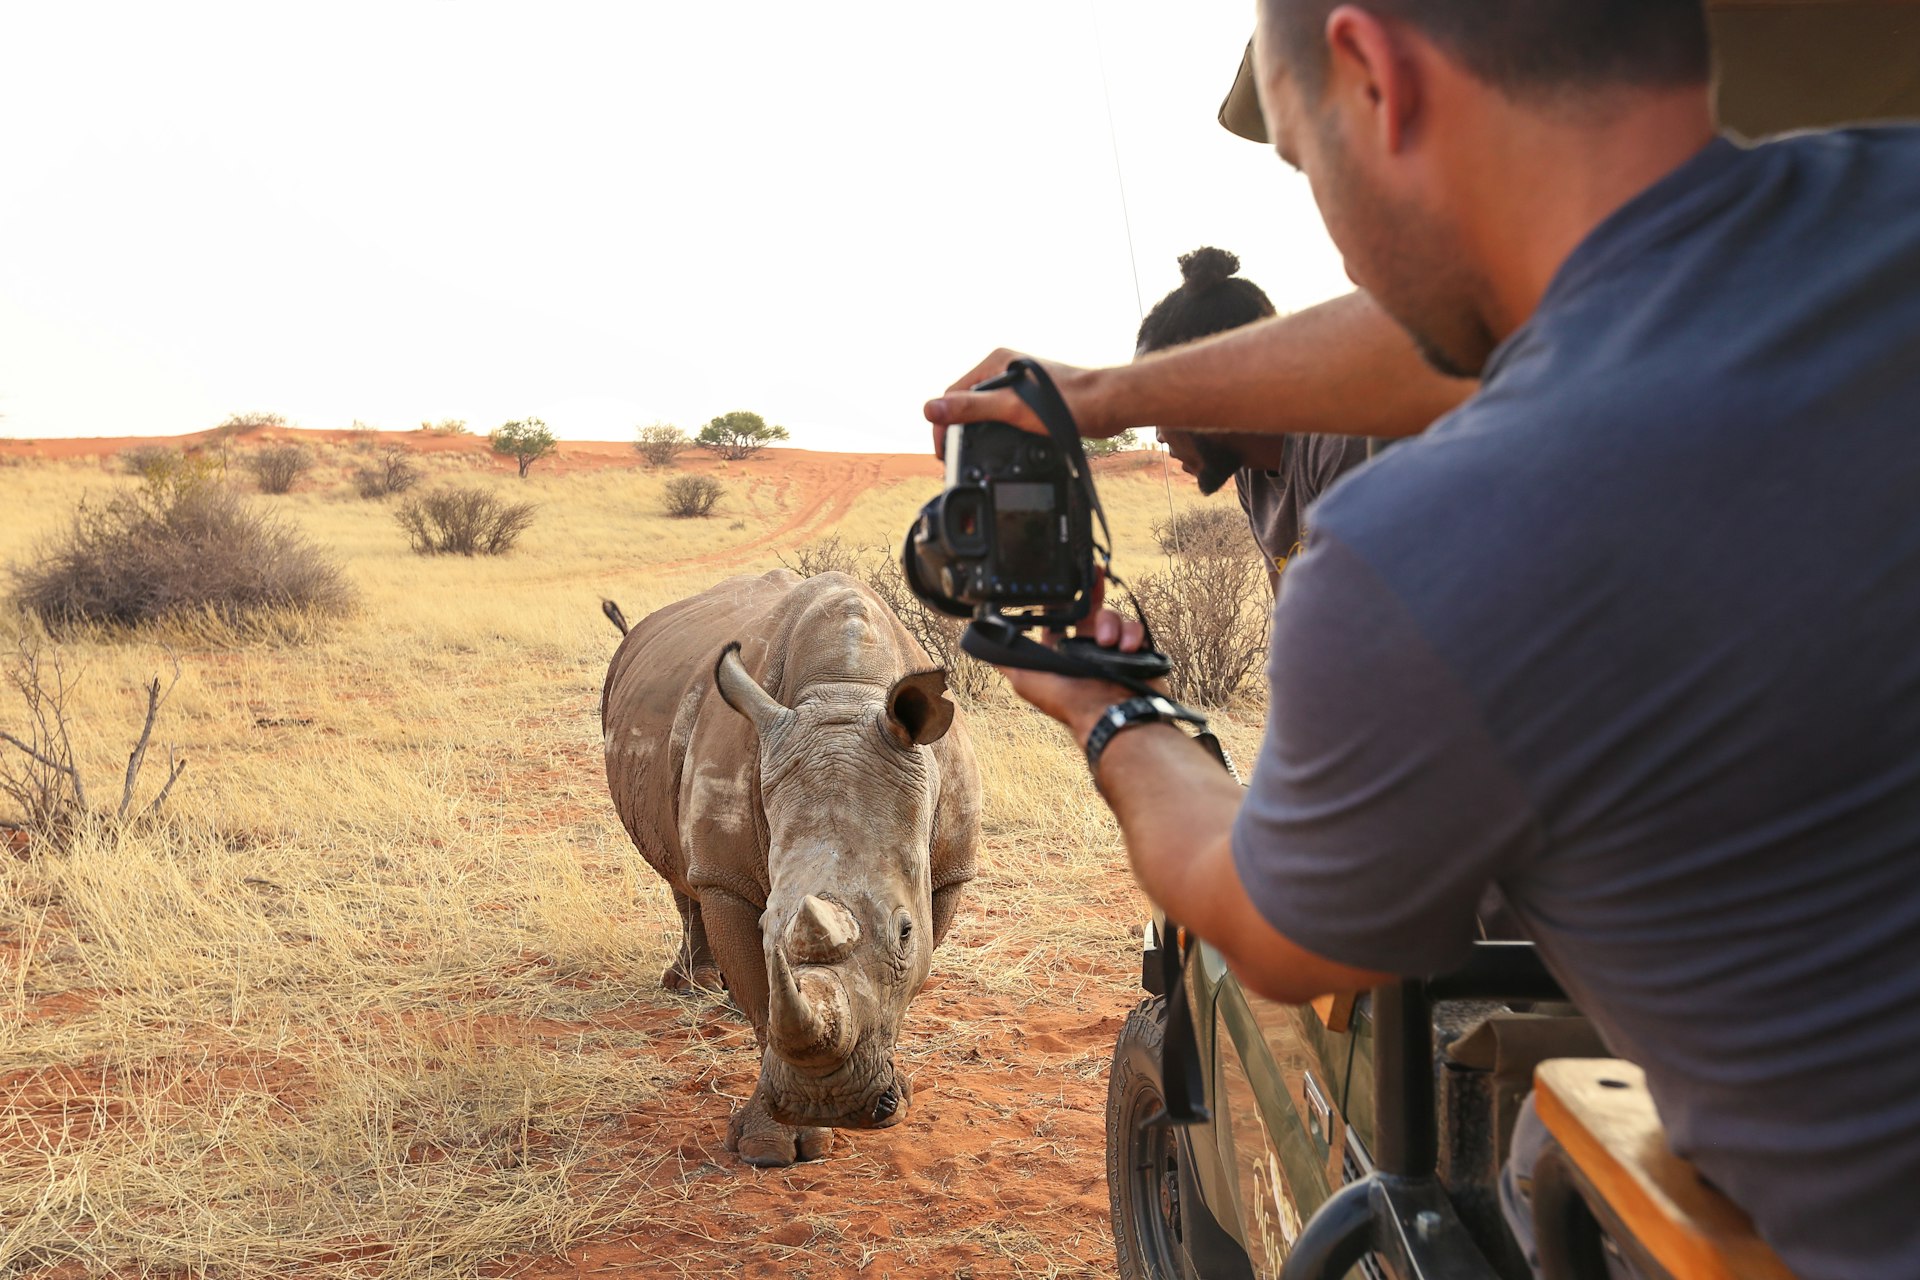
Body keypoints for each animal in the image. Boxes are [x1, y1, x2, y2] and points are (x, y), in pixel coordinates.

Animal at [599, 571, 983, 1174]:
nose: (833, 1101)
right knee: (681, 874)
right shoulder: (727, 878)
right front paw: (772, 1146)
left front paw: (894, 1099)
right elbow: (763, 1001)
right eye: (765, 928)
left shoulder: (948, 871)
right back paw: (694, 988)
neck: (845, 691)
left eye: (904, 931)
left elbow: (910, 977)